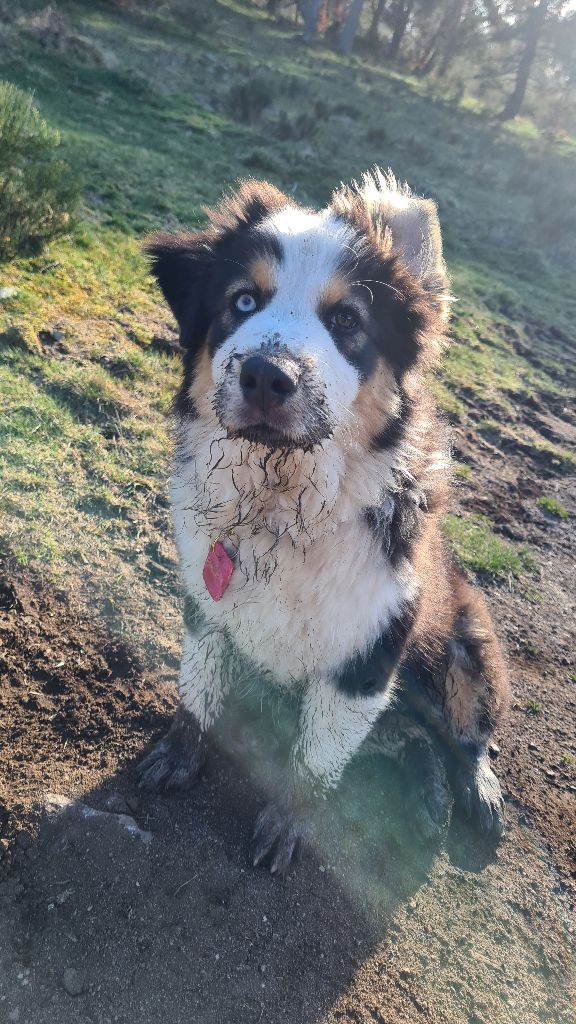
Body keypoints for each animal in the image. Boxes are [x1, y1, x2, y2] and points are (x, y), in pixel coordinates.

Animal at [138, 167, 506, 872]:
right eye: (243, 301)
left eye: (347, 320)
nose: (265, 376)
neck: (283, 508)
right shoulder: (206, 601)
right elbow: (197, 692)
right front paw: (175, 756)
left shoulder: (365, 657)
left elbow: (314, 762)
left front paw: (287, 826)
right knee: (411, 738)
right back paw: (434, 801)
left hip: (467, 645)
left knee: (461, 734)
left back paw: (478, 790)